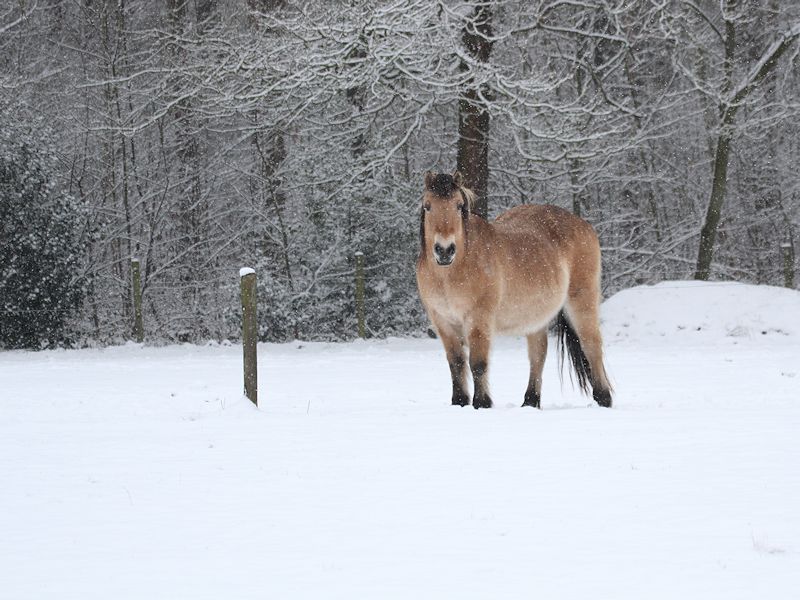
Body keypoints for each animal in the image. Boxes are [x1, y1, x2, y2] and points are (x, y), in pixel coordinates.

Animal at [418, 171, 612, 410]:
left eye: (458, 205)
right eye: (427, 206)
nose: (445, 250)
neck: (451, 273)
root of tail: (583, 224)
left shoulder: (479, 317)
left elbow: (478, 363)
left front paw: (481, 403)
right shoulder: (442, 321)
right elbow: (456, 362)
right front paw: (459, 402)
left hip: (582, 301)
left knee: (591, 345)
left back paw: (603, 398)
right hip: (536, 317)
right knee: (538, 353)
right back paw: (530, 401)